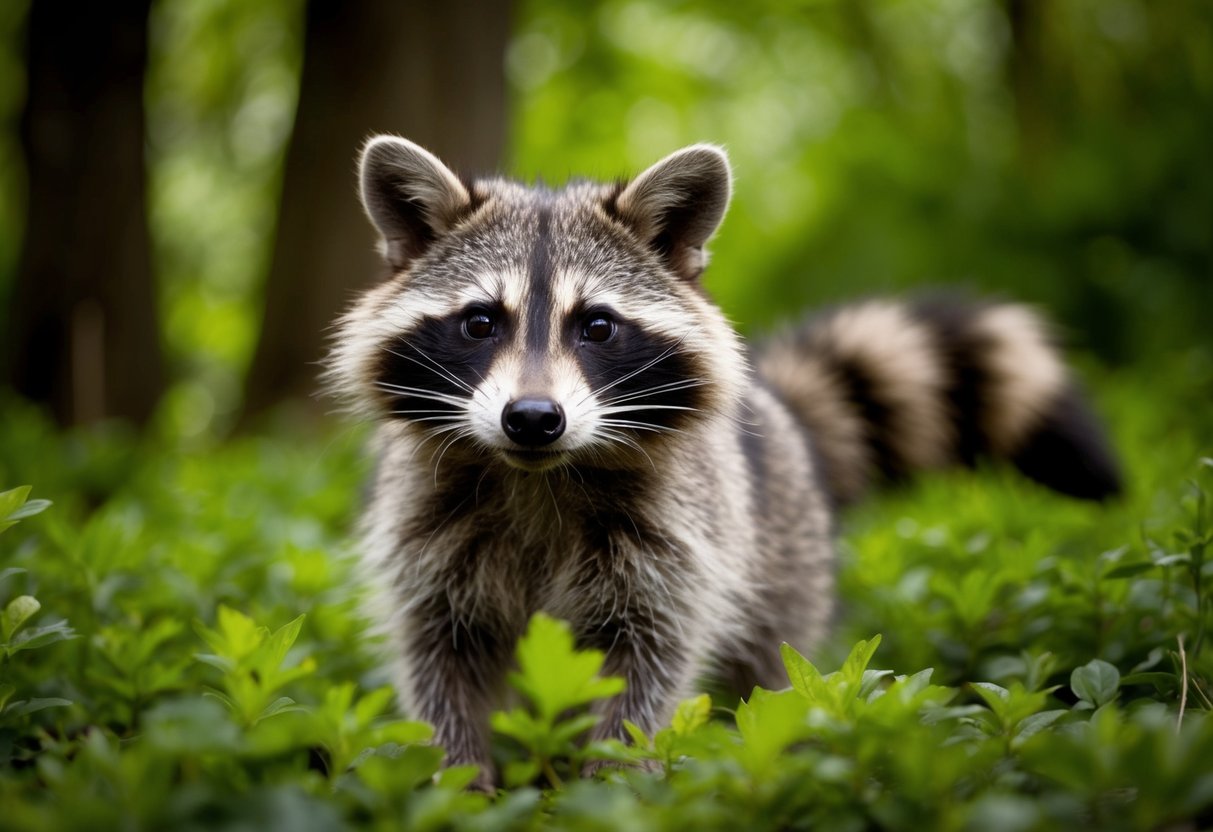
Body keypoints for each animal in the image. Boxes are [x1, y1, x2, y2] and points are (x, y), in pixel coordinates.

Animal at [326, 136, 1120, 788]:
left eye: (597, 326)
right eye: (480, 322)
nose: (532, 419)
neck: (537, 477)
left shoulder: (676, 548)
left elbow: (645, 670)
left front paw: (612, 785)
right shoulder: (426, 544)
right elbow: (439, 669)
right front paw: (459, 782)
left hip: (784, 565)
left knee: (768, 677)